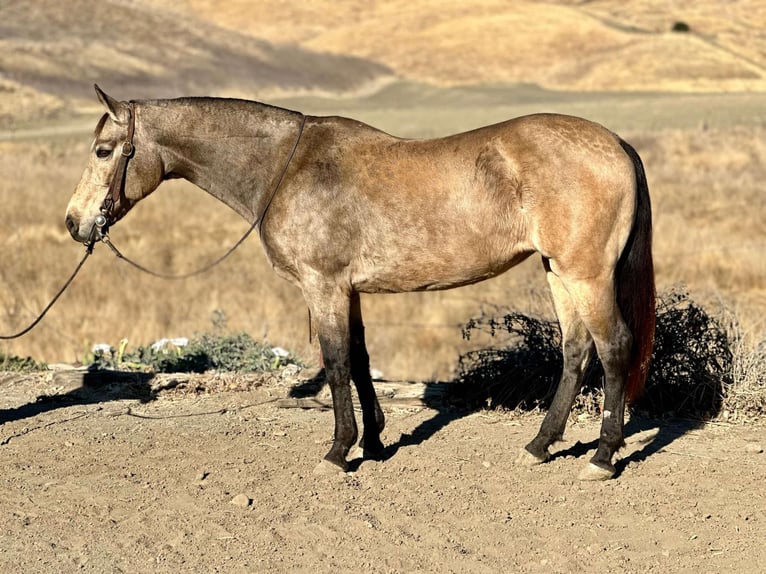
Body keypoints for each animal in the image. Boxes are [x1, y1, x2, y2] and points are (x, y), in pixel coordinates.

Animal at [66, 85, 655, 481]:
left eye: (103, 151)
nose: (75, 223)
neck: (288, 166)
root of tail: (616, 144)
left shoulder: (322, 287)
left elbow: (335, 362)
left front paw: (338, 450)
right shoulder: (348, 292)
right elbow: (359, 357)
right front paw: (372, 441)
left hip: (586, 275)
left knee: (614, 348)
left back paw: (603, 457)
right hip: (558, 272)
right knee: (576, 349)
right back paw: (540, 445)